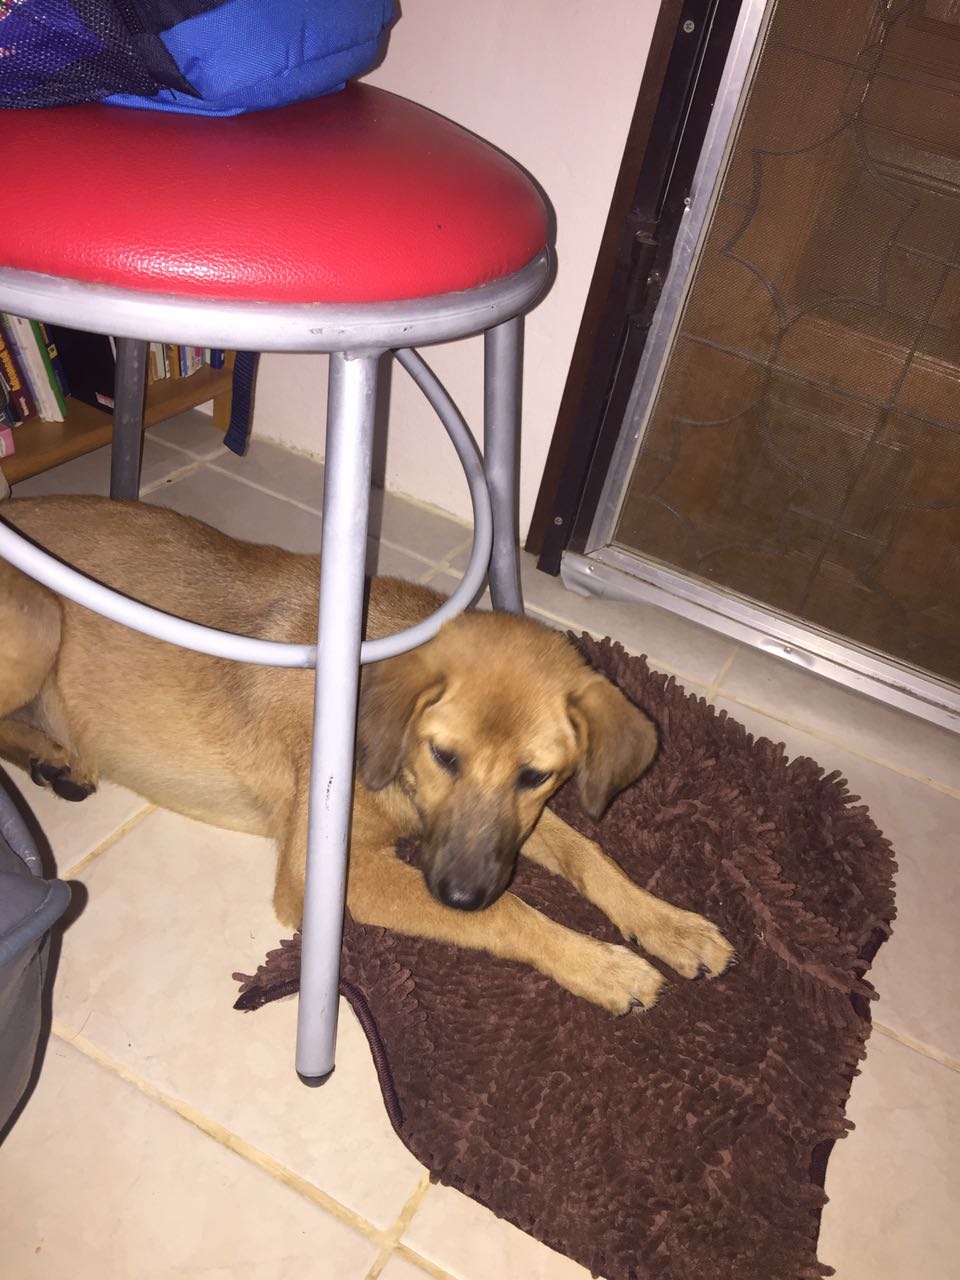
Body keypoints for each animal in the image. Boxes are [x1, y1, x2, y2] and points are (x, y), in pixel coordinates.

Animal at [0, 495, 732, 1013]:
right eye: (444, 755)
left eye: (535, 775)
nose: (461, 893)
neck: (393, 768)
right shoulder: (324, 875)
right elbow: (511, 913)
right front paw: (600, 966)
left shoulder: (512, 829)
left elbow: (588, 854)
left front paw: (668, 926)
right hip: (39, 618)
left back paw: (55, 756)